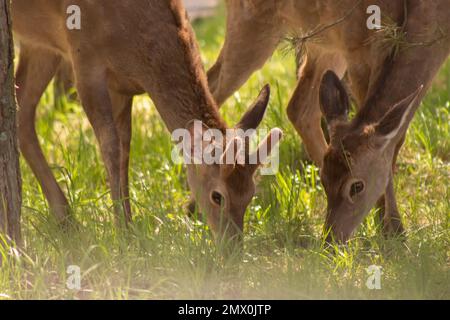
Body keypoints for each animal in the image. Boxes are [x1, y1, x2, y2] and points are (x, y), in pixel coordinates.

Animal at [11, 0, 282, 240]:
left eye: (251, 194)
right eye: (217, 196)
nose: (233, 248)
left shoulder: (121, 88)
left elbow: (124, 148)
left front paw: (129, 225)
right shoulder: (84, 60)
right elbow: (110, 147)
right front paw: (122, 233)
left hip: (40, 44)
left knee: (22, 112)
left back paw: (66, 219)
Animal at [208, 0, 450, 241]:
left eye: (357, 187)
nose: (330, 239)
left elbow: (395, 136)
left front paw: (391, 229)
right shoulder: (360, 46)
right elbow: (389, 136)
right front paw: (393, 232)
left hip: (322, 41)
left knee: (299, 107)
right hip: (254, 22)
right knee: (213, 85)